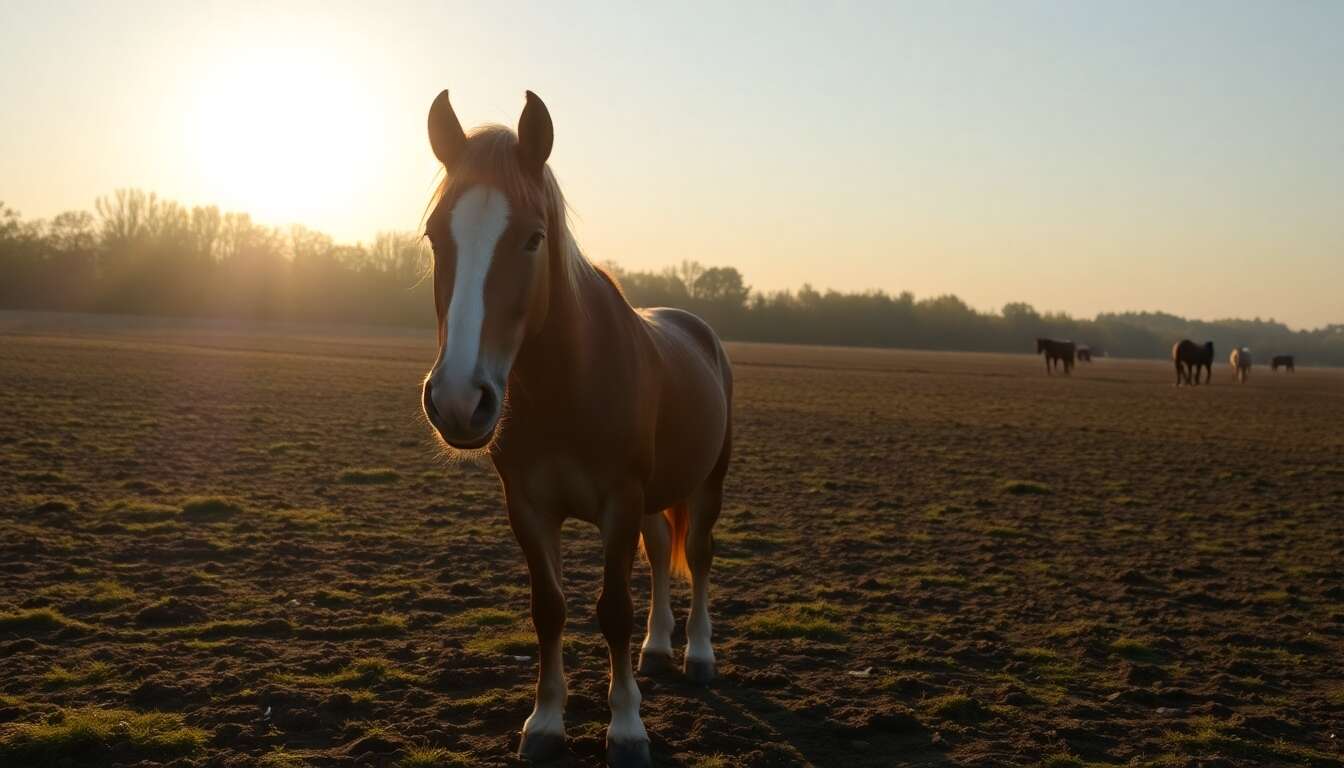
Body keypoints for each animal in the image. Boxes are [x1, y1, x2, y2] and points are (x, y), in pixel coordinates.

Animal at [418, 90, 732, 768]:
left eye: (534, 238)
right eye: (434, 236)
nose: (458, 400)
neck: (570, 384)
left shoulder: (620, 501)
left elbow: (612, 610)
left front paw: (627, 730)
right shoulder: (530, 507)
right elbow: (550, 609)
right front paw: (545, 722)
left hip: (706, 485)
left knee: (697, 555)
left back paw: (697, 656)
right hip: (654, 499)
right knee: (662, 552)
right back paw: (657, 650)